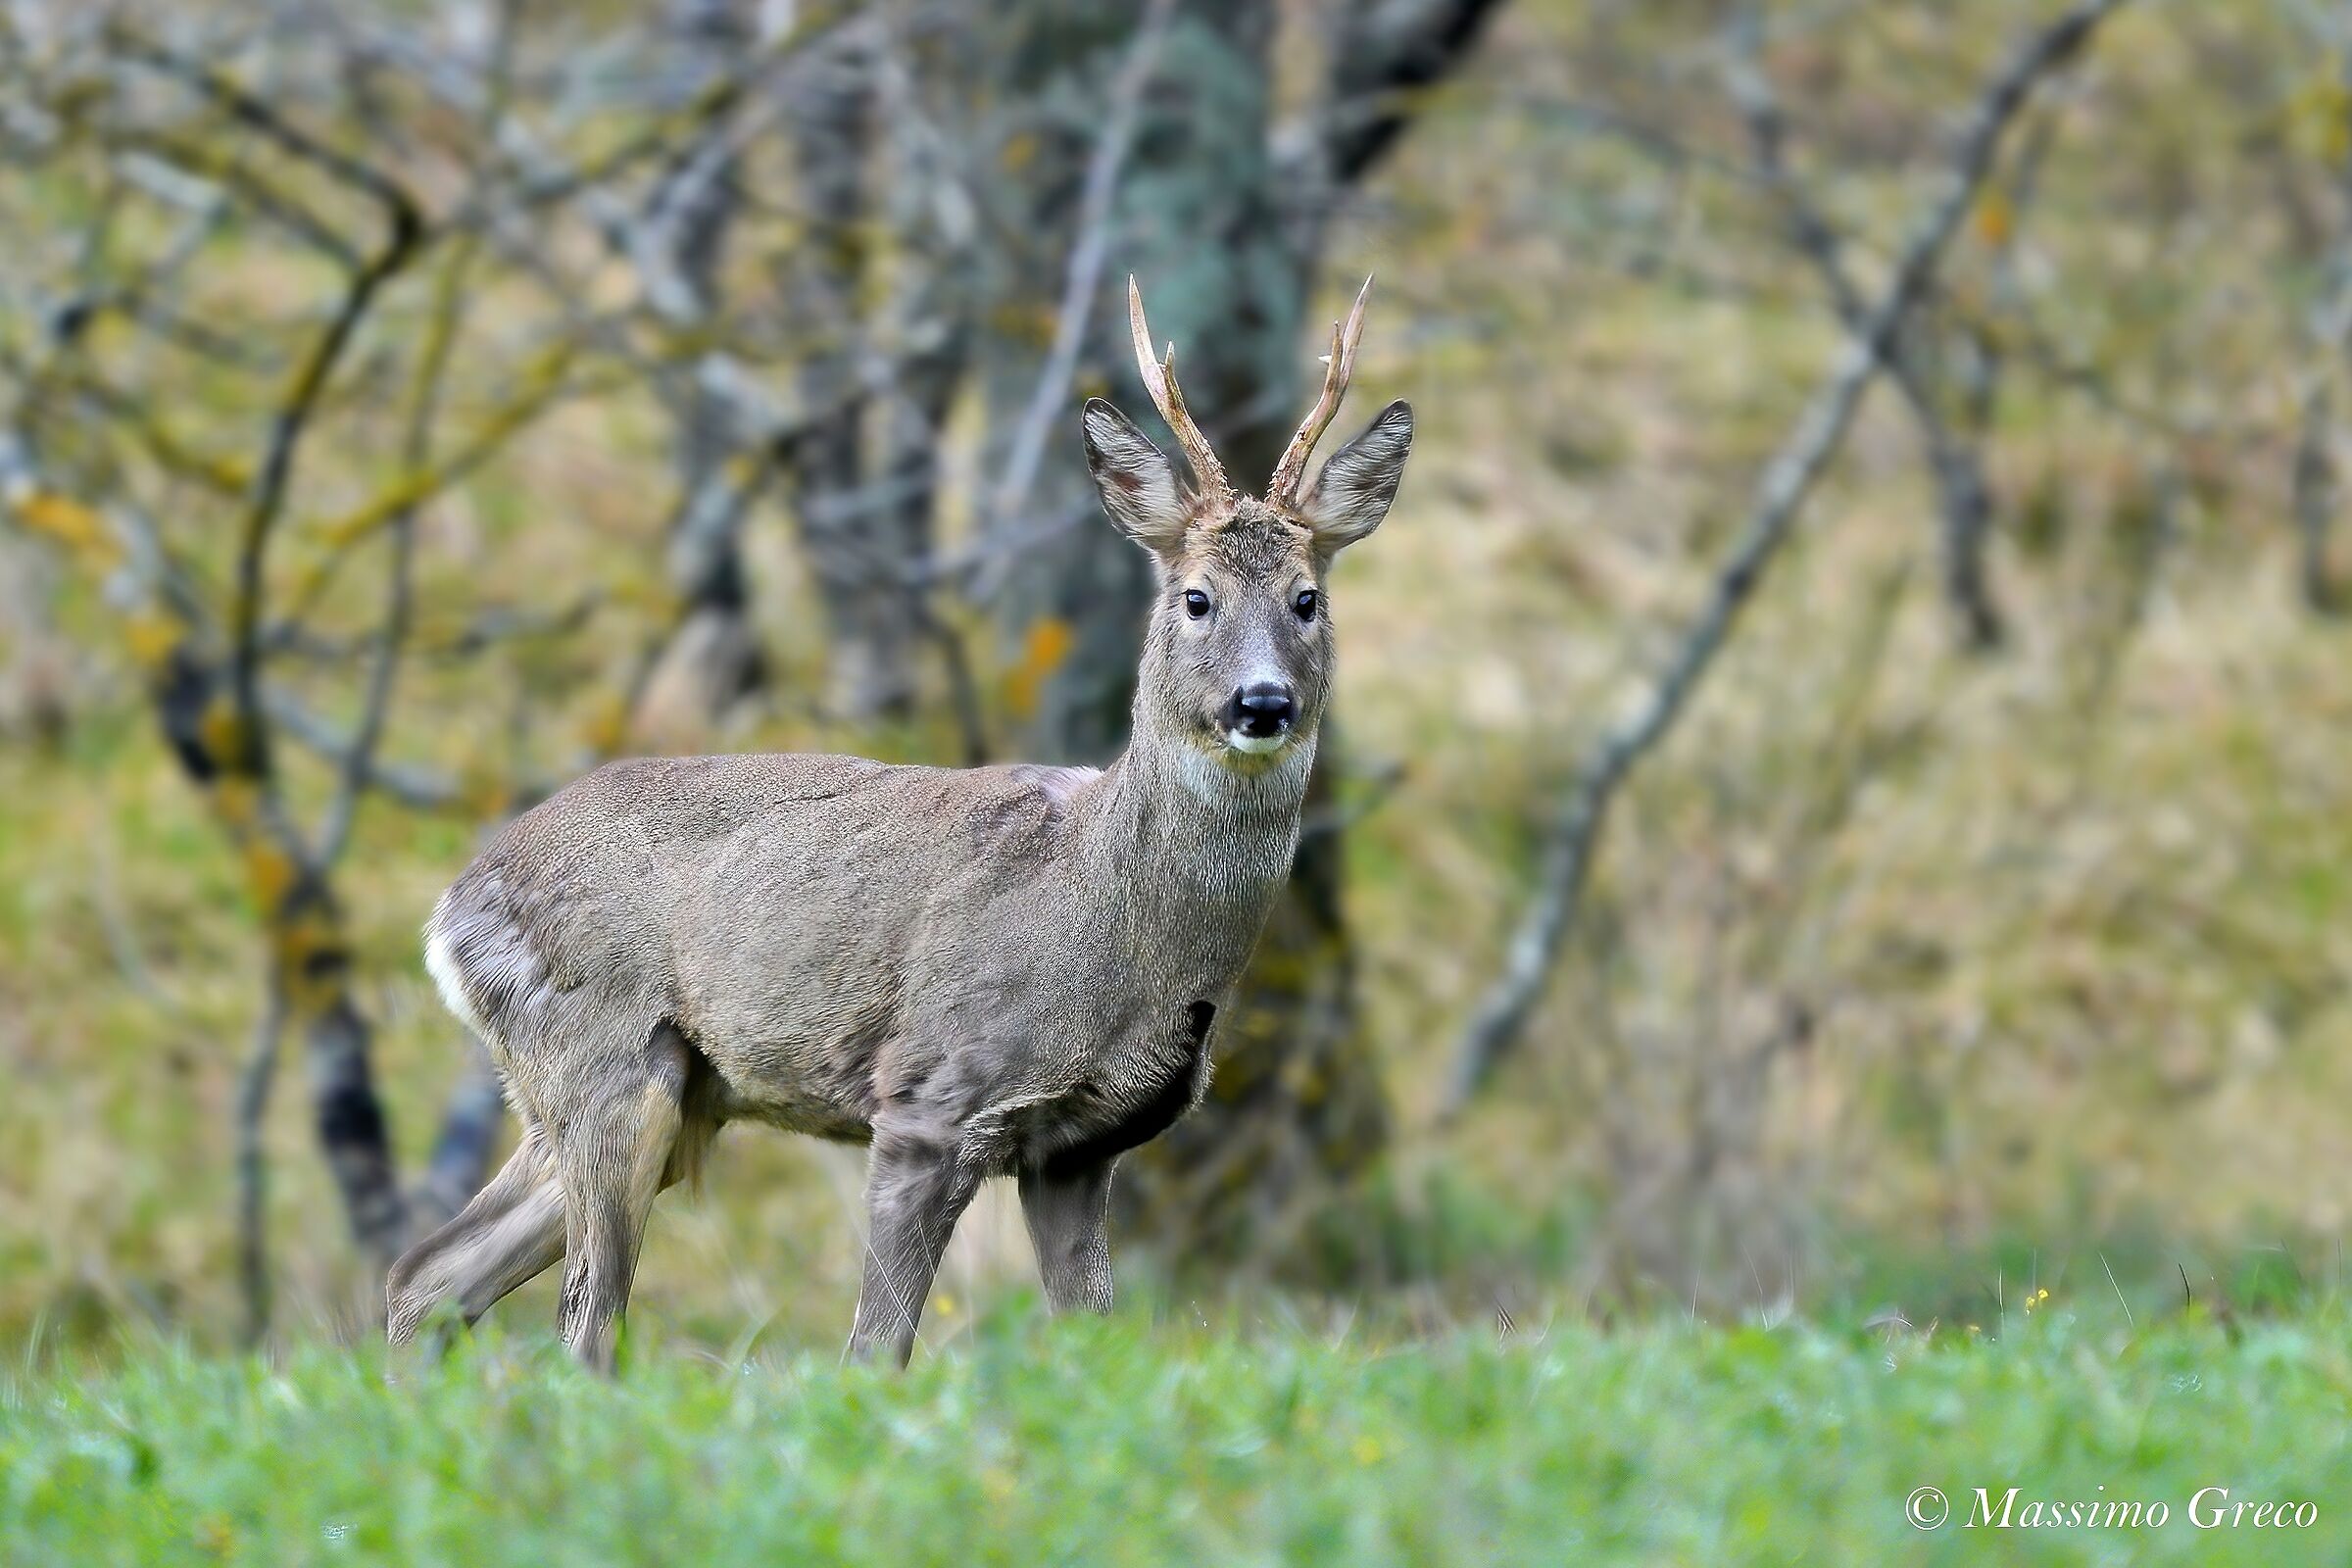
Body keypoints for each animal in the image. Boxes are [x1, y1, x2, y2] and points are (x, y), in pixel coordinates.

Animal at [385, 277, 1413, 1370]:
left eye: (1307, 599)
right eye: (1196, 597)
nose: (1263, 703)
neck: (1105, 911)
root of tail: (451, 907)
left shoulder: (1078, 1148)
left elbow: (1095, 1339)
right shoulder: (929, 1094)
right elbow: (876, 1350)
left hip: (654, 1091)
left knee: (430, 1273)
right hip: (603, 1056)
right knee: (583, 1323)